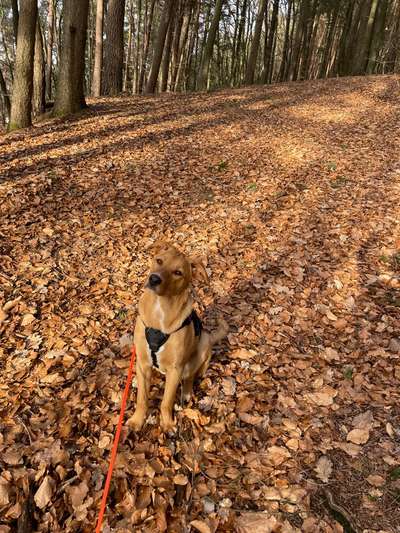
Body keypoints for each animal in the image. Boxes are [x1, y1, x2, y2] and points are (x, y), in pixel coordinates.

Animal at [129, 241, 228, 432]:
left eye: (178, 273)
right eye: (159, 260)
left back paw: (187, 392)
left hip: (203, 344)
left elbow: (166, 402)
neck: (160, 309)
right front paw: (137, 420)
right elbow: (142, 399)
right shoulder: (143, 362)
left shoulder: (175, 369)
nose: (154, 279)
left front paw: (167, 424)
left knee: (190, 376)